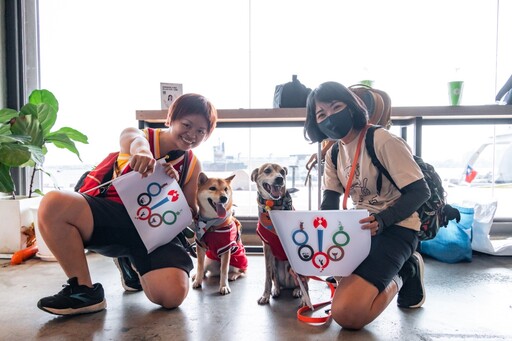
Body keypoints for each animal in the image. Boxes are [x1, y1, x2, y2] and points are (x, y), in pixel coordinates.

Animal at [251, 163, 310, 304]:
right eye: (267, 170)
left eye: (282, 172)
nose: (279, 179)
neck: (273, 208)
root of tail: (288, 285)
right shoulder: (266, 246)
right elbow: (267, 276)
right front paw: (265, 295)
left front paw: (305, 300)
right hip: (275, 265)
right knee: (276, 278)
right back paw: (276, 289)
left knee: (301, 282)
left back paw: (298, 290)